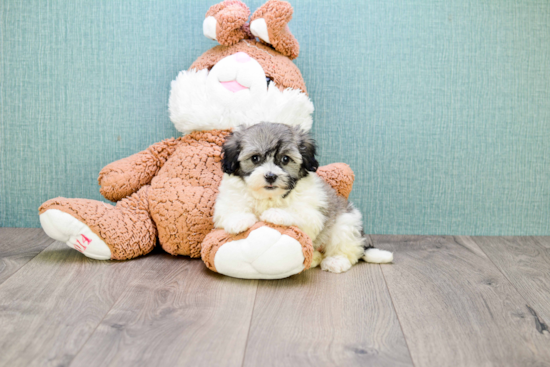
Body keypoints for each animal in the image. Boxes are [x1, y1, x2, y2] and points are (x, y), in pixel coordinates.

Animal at [213, 123, 394, 274]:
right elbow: (229, 209)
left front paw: (275, 214)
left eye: (285, 159)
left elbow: (298, 213)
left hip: (346, 223)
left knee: (348, 249)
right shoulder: (227, 200)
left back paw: (336, 261)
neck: (269, 197)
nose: (270, 176)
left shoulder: (312, 213)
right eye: (255, 158)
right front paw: (238, 220)